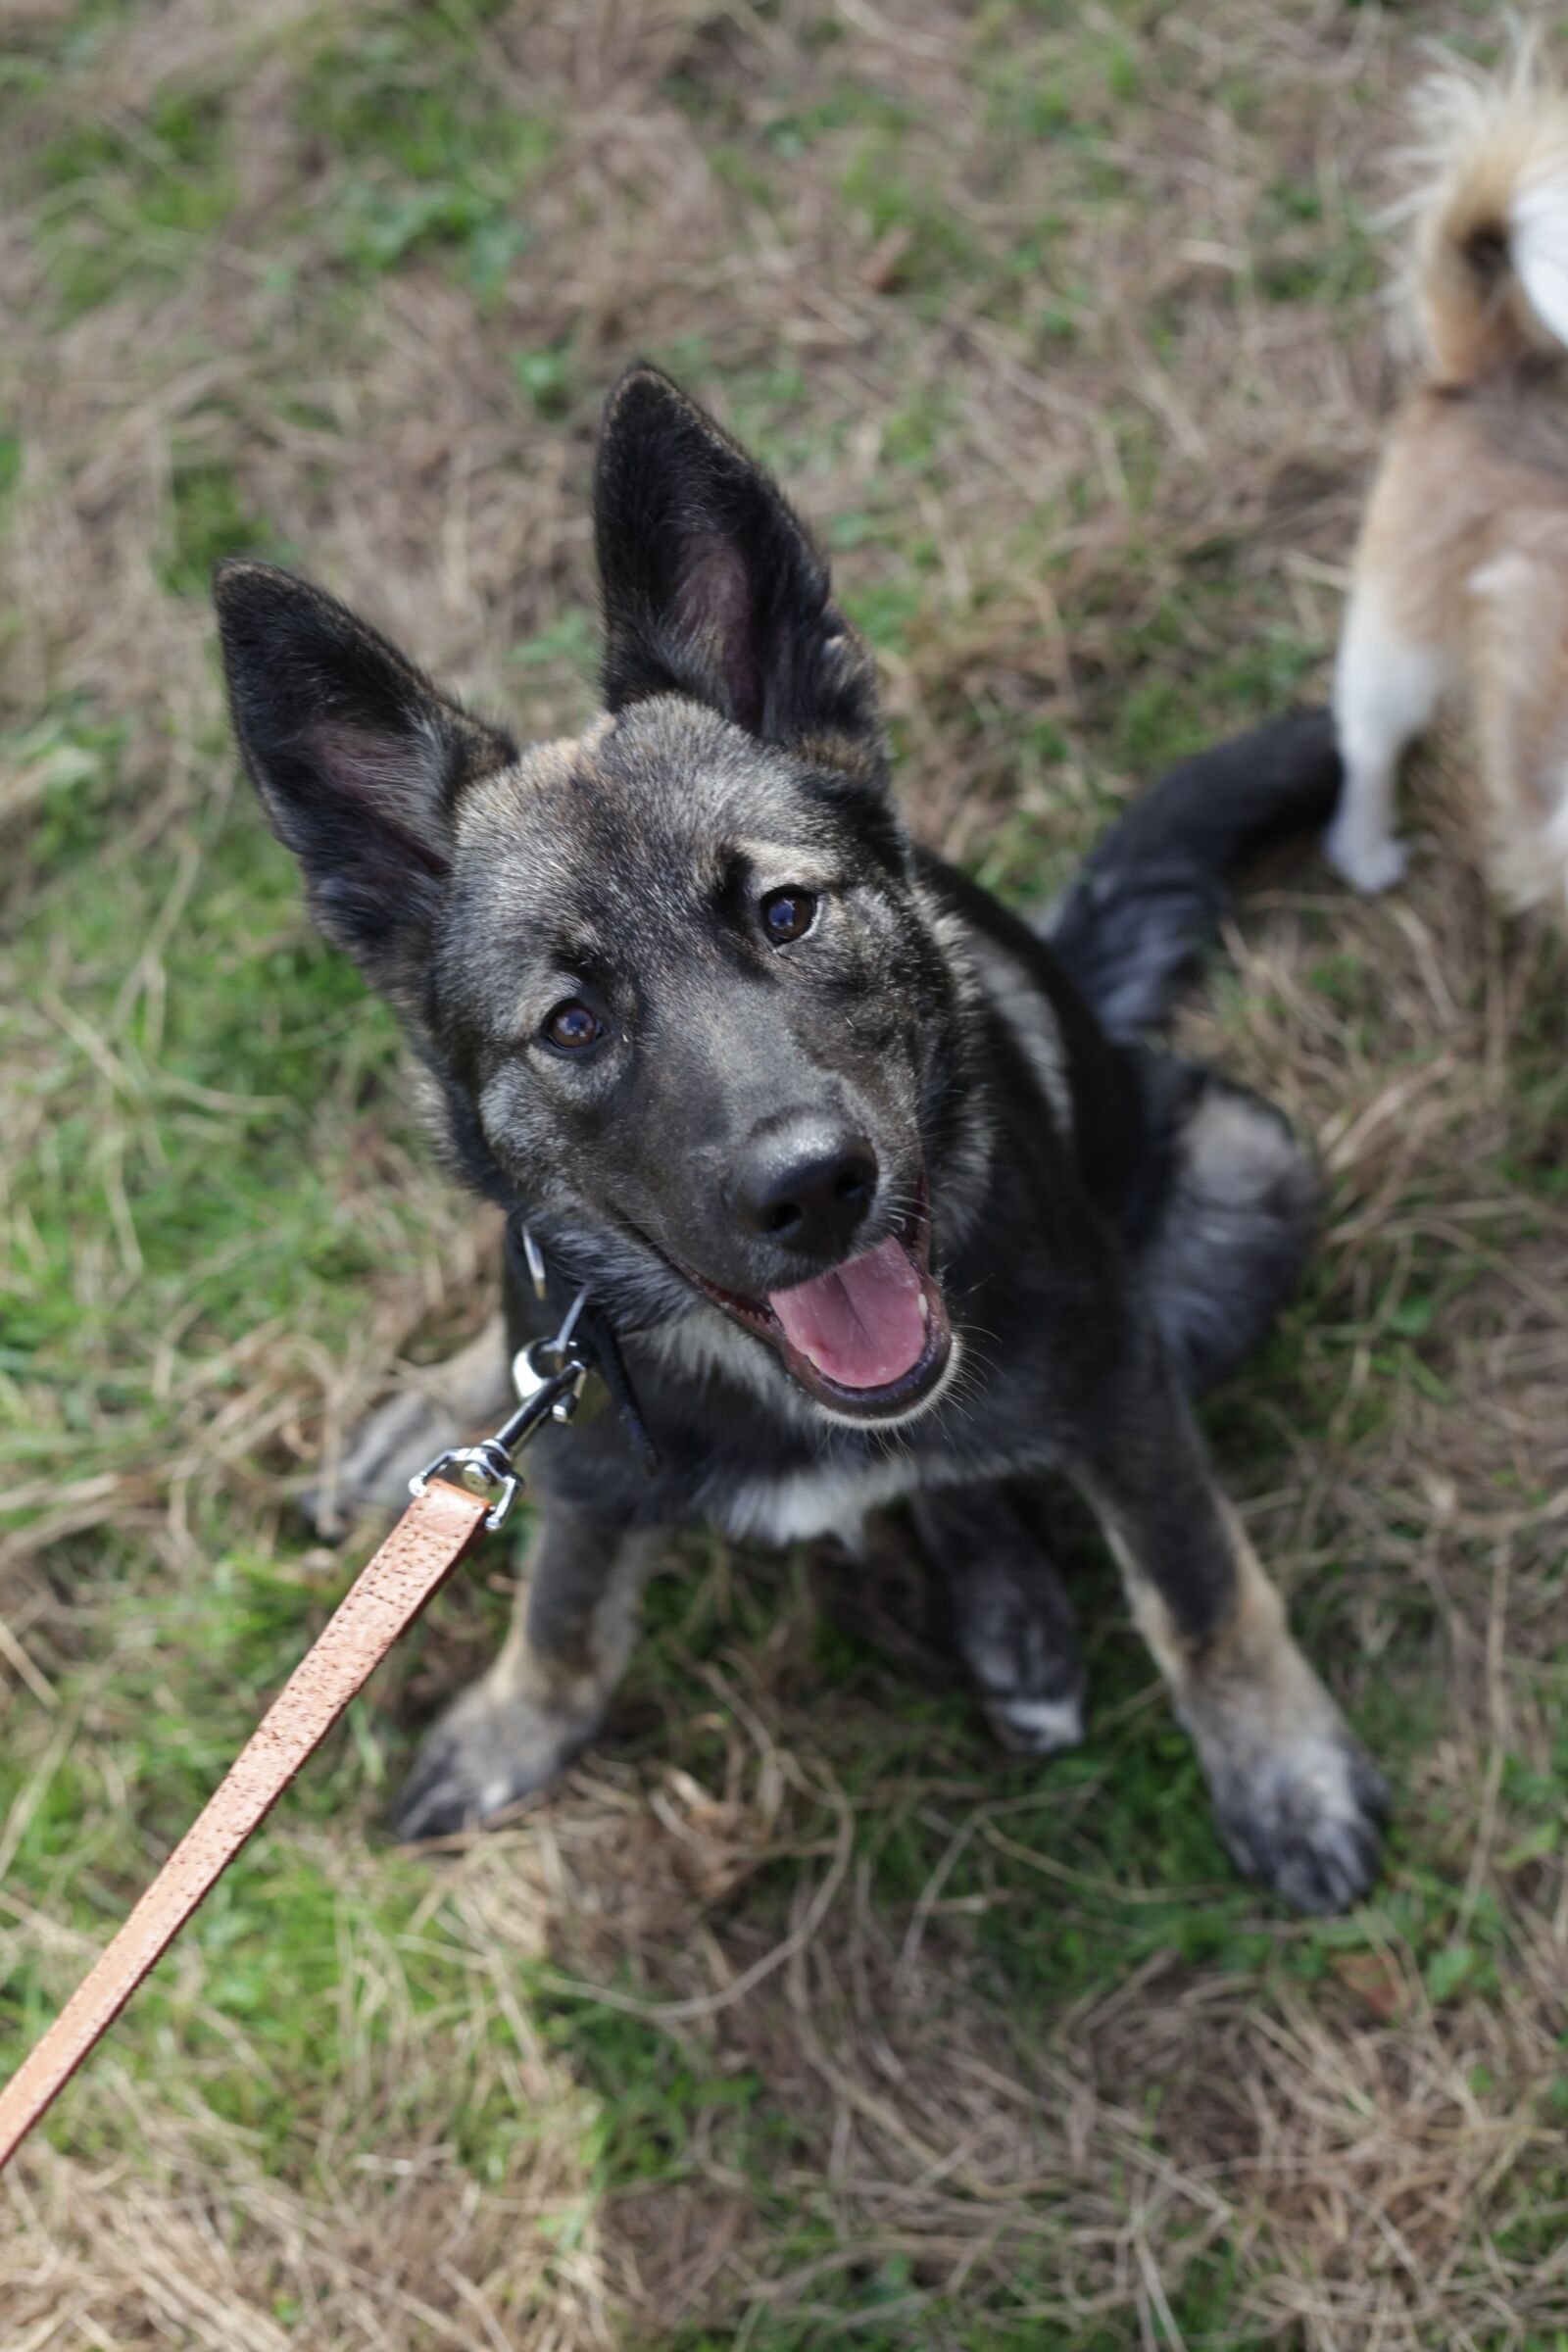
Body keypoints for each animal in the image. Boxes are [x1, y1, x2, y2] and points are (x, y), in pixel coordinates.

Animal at [217, 362, 1382, 1909]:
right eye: (572, 1024)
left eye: (785, 912)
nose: (816, 1191)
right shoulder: (589, 1441)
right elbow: (566, 1606)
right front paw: (514, 1722)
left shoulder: (1127, 1385)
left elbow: (1198, 1590)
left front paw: (1282, 1771)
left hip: (1246, 1181)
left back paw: (1012, 1614)